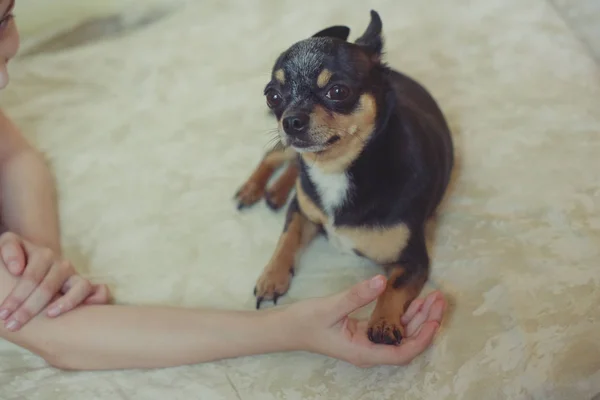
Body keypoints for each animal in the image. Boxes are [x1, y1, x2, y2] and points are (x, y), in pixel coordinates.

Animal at [232, 10, 452, 346]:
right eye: (272, 96)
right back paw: (254, 189)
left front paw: (383, 322)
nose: (290, 120)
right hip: (285, 146)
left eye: (337, 91)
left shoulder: (413, 261)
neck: (336, 169)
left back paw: (275, 192)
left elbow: (393, 287)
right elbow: (287, 236)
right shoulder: (301, 208)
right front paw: (271, 277)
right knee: (275, 154)